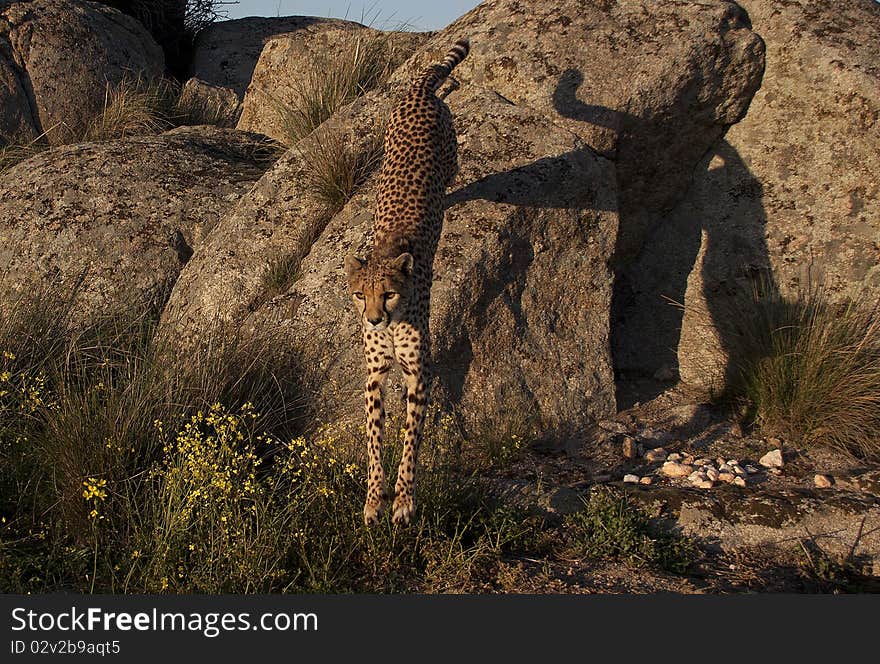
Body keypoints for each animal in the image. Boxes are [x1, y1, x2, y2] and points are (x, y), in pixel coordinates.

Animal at [346, 37, 470, 524]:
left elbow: (411, 439)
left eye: (389, 294)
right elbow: (374, 440)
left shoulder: (420, 373)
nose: (374, 320)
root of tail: (416, 92)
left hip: (450, 155)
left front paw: (402, 500)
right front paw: (372, 499)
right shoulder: (375, 374)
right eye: (359, 296)